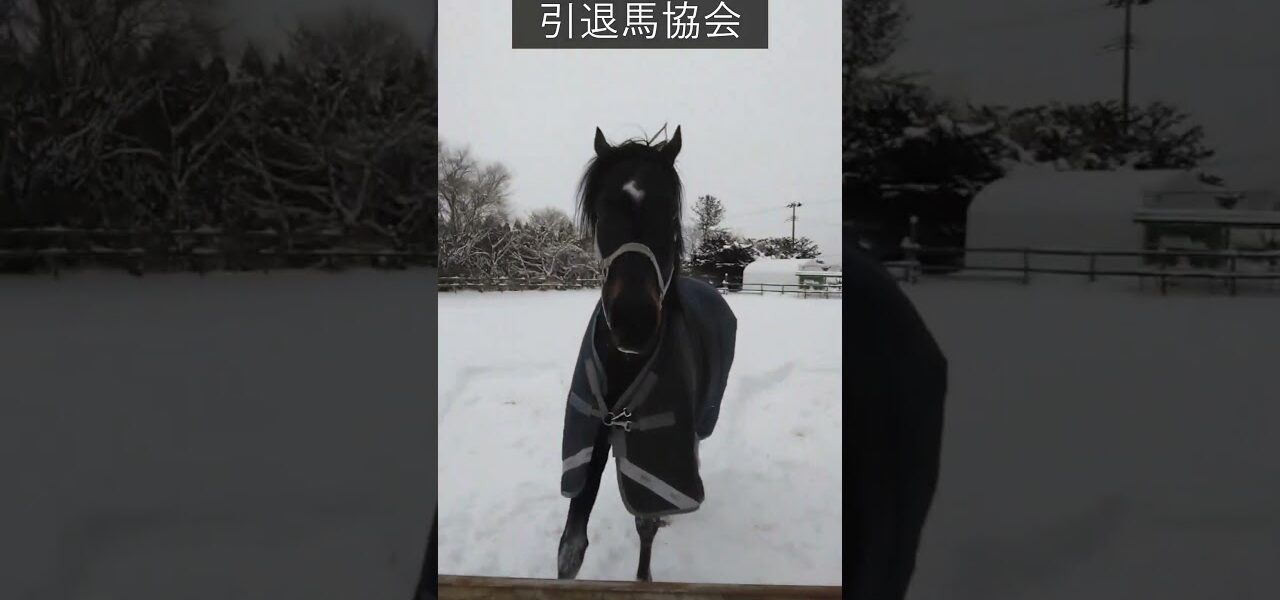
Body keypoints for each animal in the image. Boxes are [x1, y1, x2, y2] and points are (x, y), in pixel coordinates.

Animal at [556, 126, 738, 582]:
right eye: (603, 210)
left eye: (670, 213)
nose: (633, 320)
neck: (625, 365)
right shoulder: (590, 438)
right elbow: (571, 546)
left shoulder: (655, 453)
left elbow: (646, 522)